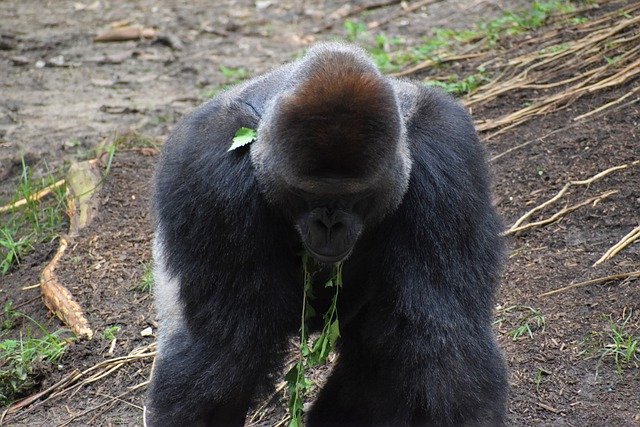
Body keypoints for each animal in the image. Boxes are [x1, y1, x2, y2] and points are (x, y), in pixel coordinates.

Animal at [148, 41, 508, 426]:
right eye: (307, 196)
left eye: (355, 198)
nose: (330, 225)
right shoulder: (210, 169)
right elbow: (223, 347)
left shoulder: (447, 151)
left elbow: (445, 336)